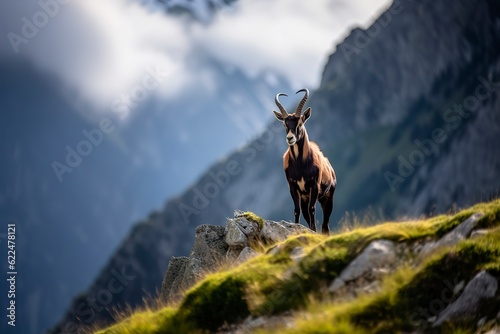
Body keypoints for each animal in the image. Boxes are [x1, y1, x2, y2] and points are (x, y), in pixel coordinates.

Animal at [272, 88, 338, 235]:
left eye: (300, 123)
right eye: (284, 124)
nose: (290, 138)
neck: (300, 165)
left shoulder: (314, 186)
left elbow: (312, 209)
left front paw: (313, 231)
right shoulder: (293, 187)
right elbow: (297, 210)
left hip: (327, 198)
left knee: (325, 224)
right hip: (305, 198)